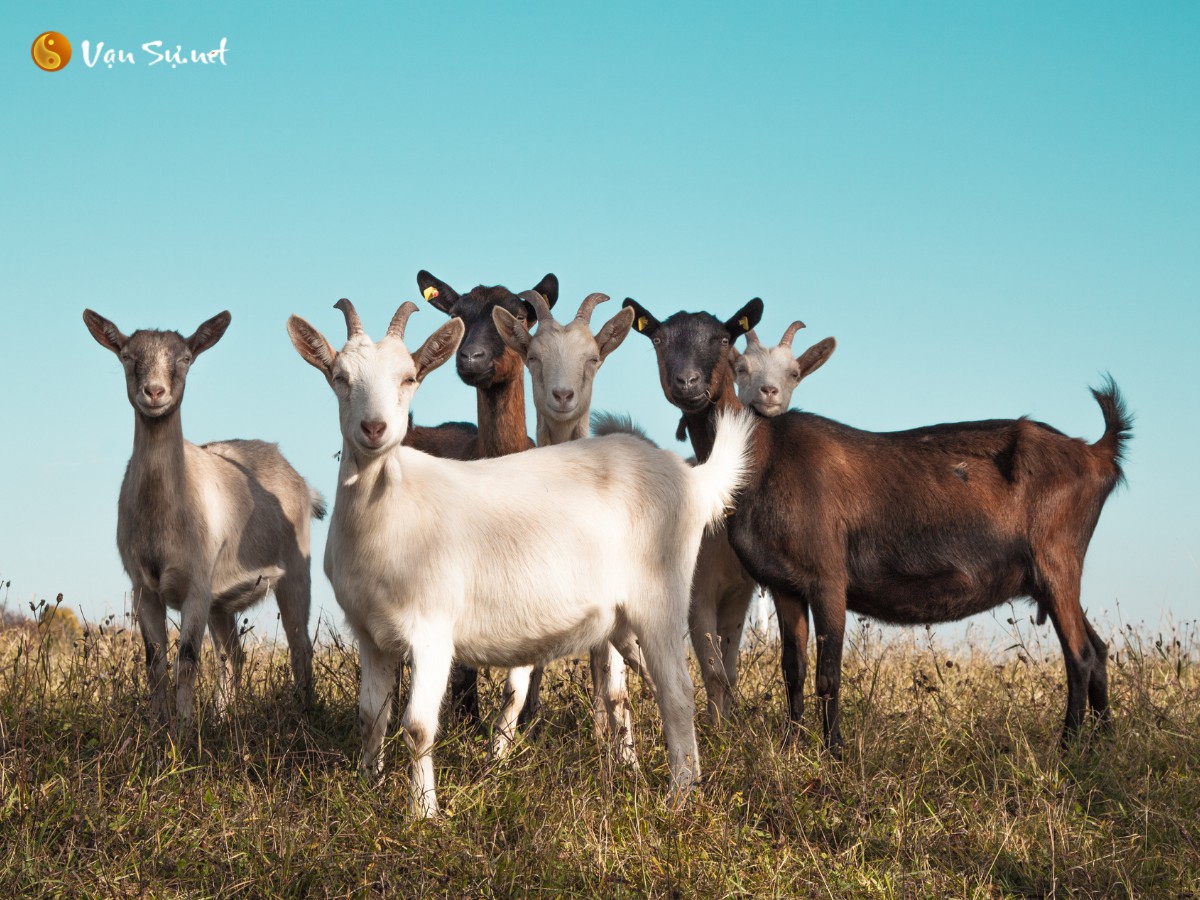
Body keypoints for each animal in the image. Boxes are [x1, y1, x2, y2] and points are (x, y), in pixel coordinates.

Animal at [81, 309, 326, 734]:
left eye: (185, 358)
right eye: (127, 355)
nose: (155, 392)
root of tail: (301, 482)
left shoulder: (195, 584)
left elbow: (188, 659)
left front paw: (181, 732)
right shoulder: (143, 587)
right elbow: (155, 663)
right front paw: (157, 729)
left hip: (296, 571)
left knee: (300, 647)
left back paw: (302, 715)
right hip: (221, 601)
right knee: (234, 655)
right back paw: (221, 718)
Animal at [285, 301, 748, 816]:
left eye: (409, 377)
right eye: (340, 376)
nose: (374, 428)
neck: (387, 506)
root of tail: (689, 479)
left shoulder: (432, 631)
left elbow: (418, 727)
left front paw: (423, 814)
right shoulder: (371, 635)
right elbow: (371, 717)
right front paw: (369, 788)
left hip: (660, 596)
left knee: (677, 691)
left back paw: (679, 796)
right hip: (622, 618)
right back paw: (681, 777)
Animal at [624, 297, 1128, 753]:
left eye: (722, 338)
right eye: (657, 340)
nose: (687, 383)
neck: (765, 457)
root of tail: (1097, 452)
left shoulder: (829, 577)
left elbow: (828, 673)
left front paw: (834, 752)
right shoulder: (786, 584)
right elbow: (793, 670)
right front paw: (790, 747)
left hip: (1057, 560)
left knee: (1080, 655)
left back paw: (1068, 748)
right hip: (1050, 574)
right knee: (1099, 649)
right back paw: (1105, 744)